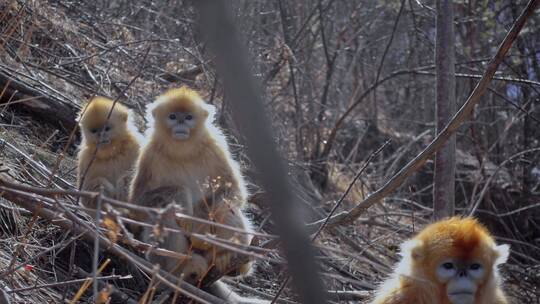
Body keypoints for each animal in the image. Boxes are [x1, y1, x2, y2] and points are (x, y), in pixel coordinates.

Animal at [131, 86, 266, 302]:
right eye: (172, 116)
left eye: (188, 117)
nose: (180, 124)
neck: (182, 151)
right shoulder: (149, 155)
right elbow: (138, 204)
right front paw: (182, 199)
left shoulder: (216, 147)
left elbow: (234, 191)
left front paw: (200, 228)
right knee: (164, 211)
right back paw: (182, 270)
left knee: (224, 206)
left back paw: (229, 260)